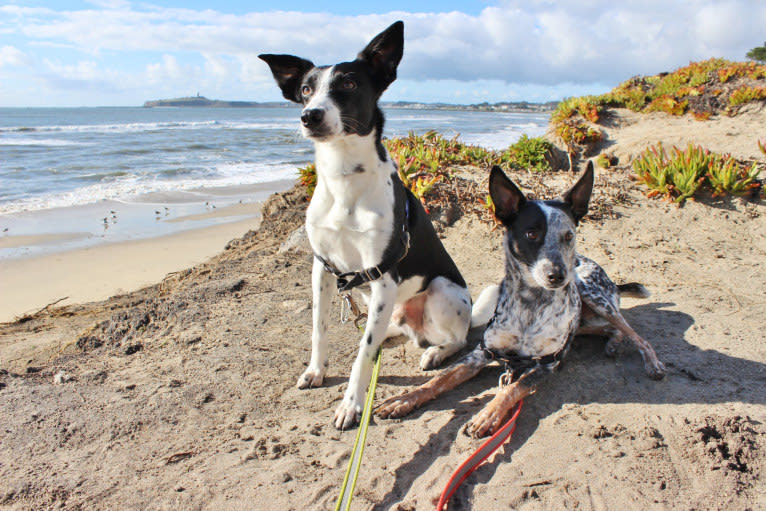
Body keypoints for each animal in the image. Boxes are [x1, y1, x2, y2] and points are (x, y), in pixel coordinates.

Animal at [380, 163, 668, 436]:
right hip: (585, 321)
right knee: (610, 330)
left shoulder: (546, 363)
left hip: (595, 296)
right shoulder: (480, 353)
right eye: (531, 234)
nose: (558, 275)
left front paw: (487, 415)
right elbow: (437, 381)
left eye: (568, 235)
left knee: (636, 335)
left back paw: (651, 362)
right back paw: (612, 344)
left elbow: (511, 389)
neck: (529, 306)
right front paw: (404, 400)